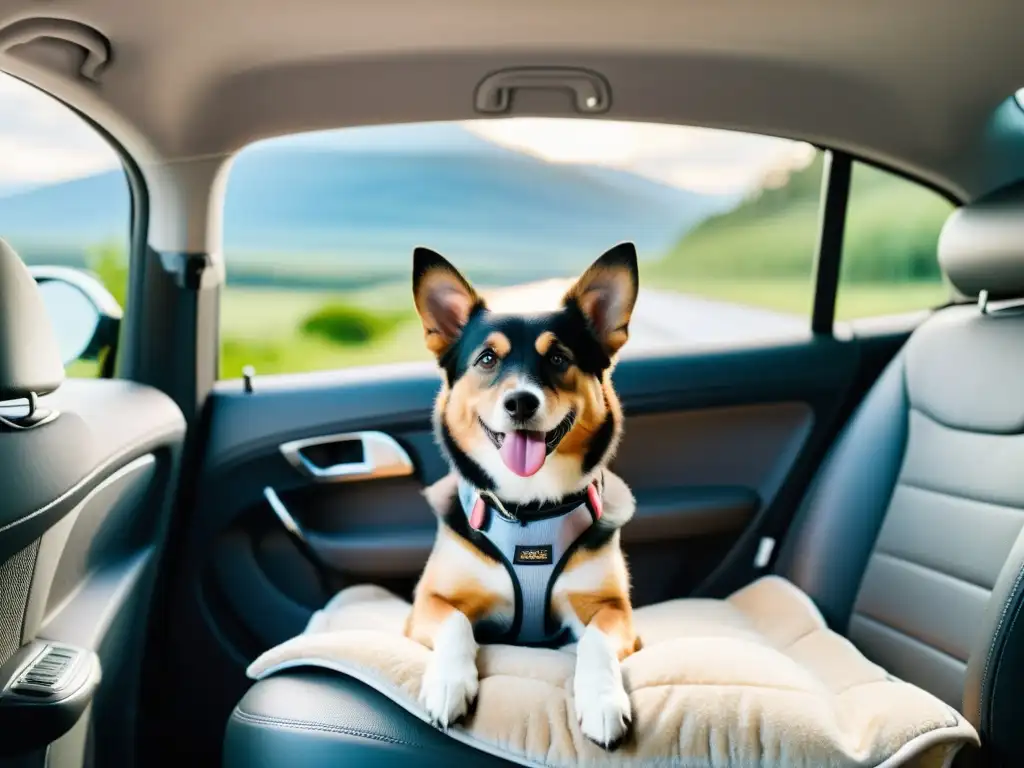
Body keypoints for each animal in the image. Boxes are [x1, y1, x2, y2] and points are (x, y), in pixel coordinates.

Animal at [405, 243, 638, 749]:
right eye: (487, 360)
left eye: (559, 359)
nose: (520, 403)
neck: (530, 509)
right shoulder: (427, 603)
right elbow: (456, 623)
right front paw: (448, 682)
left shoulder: (614, 610)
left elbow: (594, 640)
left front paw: (603, 700)